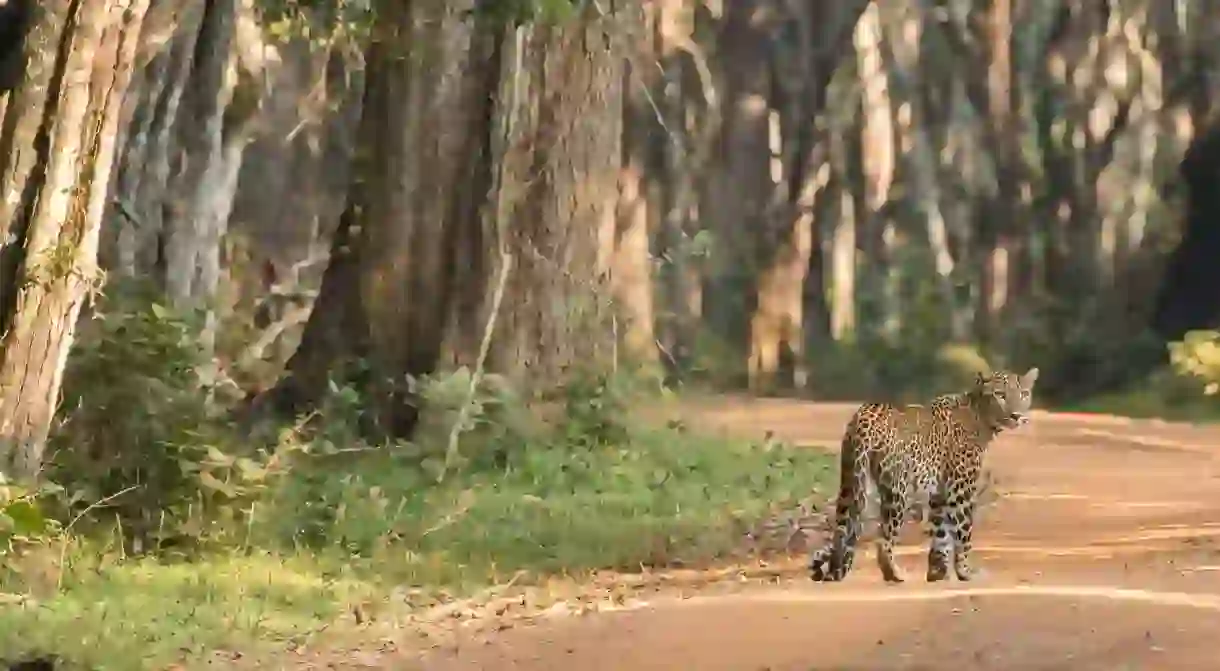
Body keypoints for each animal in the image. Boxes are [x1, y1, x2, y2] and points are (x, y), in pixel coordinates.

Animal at [810, 370, 1039, 585]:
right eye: (1000, 394)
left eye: (1023, 394)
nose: (1016, 415)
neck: (980, 415)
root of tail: (866, 414)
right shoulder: (961, 488)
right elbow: (964, 531)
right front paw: (965, 571)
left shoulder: (940, 492)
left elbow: (941, 532)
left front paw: (938, 573)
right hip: (897, 489)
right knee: (884, 538)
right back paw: (894, 573)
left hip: (851, 479)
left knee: (842, 529)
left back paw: (833, 570)